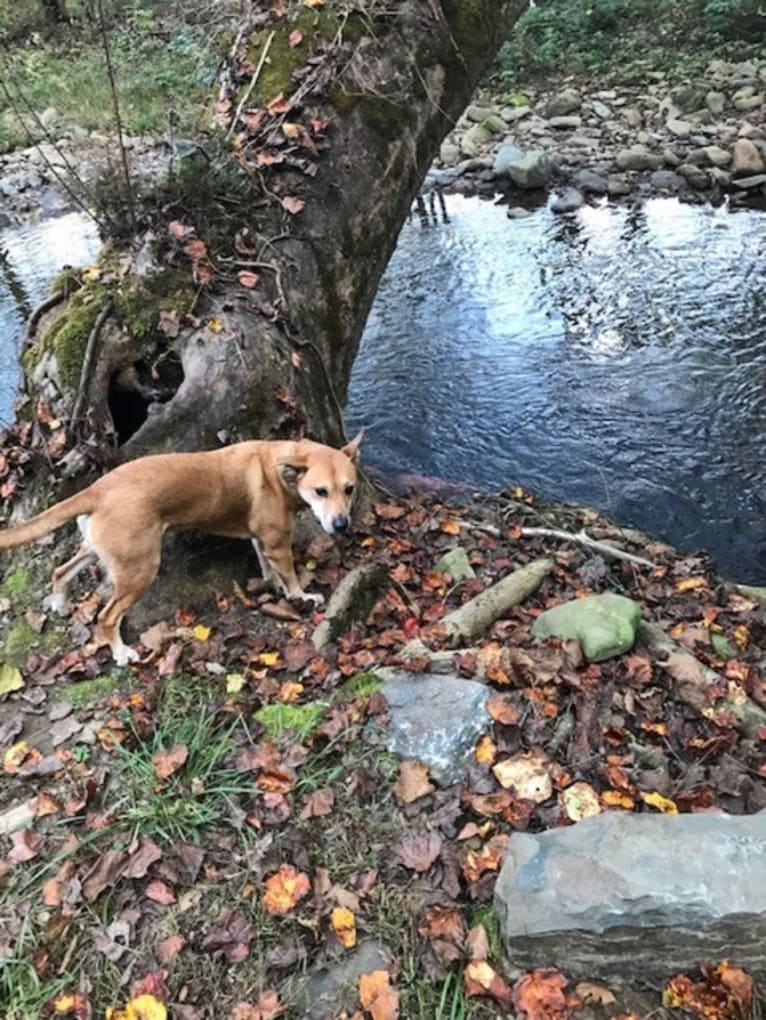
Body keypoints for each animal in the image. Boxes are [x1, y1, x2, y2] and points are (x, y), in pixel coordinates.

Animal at [0, 434, 363, 665]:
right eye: (320, 491)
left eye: (349, 489)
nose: (342, 524)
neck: (280, 468)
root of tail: (97, 489)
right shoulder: (277, 541)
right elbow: (290, 576)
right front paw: (301, 596)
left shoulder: (262, 539)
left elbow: (266, 565)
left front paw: (271, 583)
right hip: (139, 570)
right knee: (106, 617)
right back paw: (121, 653)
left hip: (96, 549)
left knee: (61, 571)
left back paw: (60, 603)